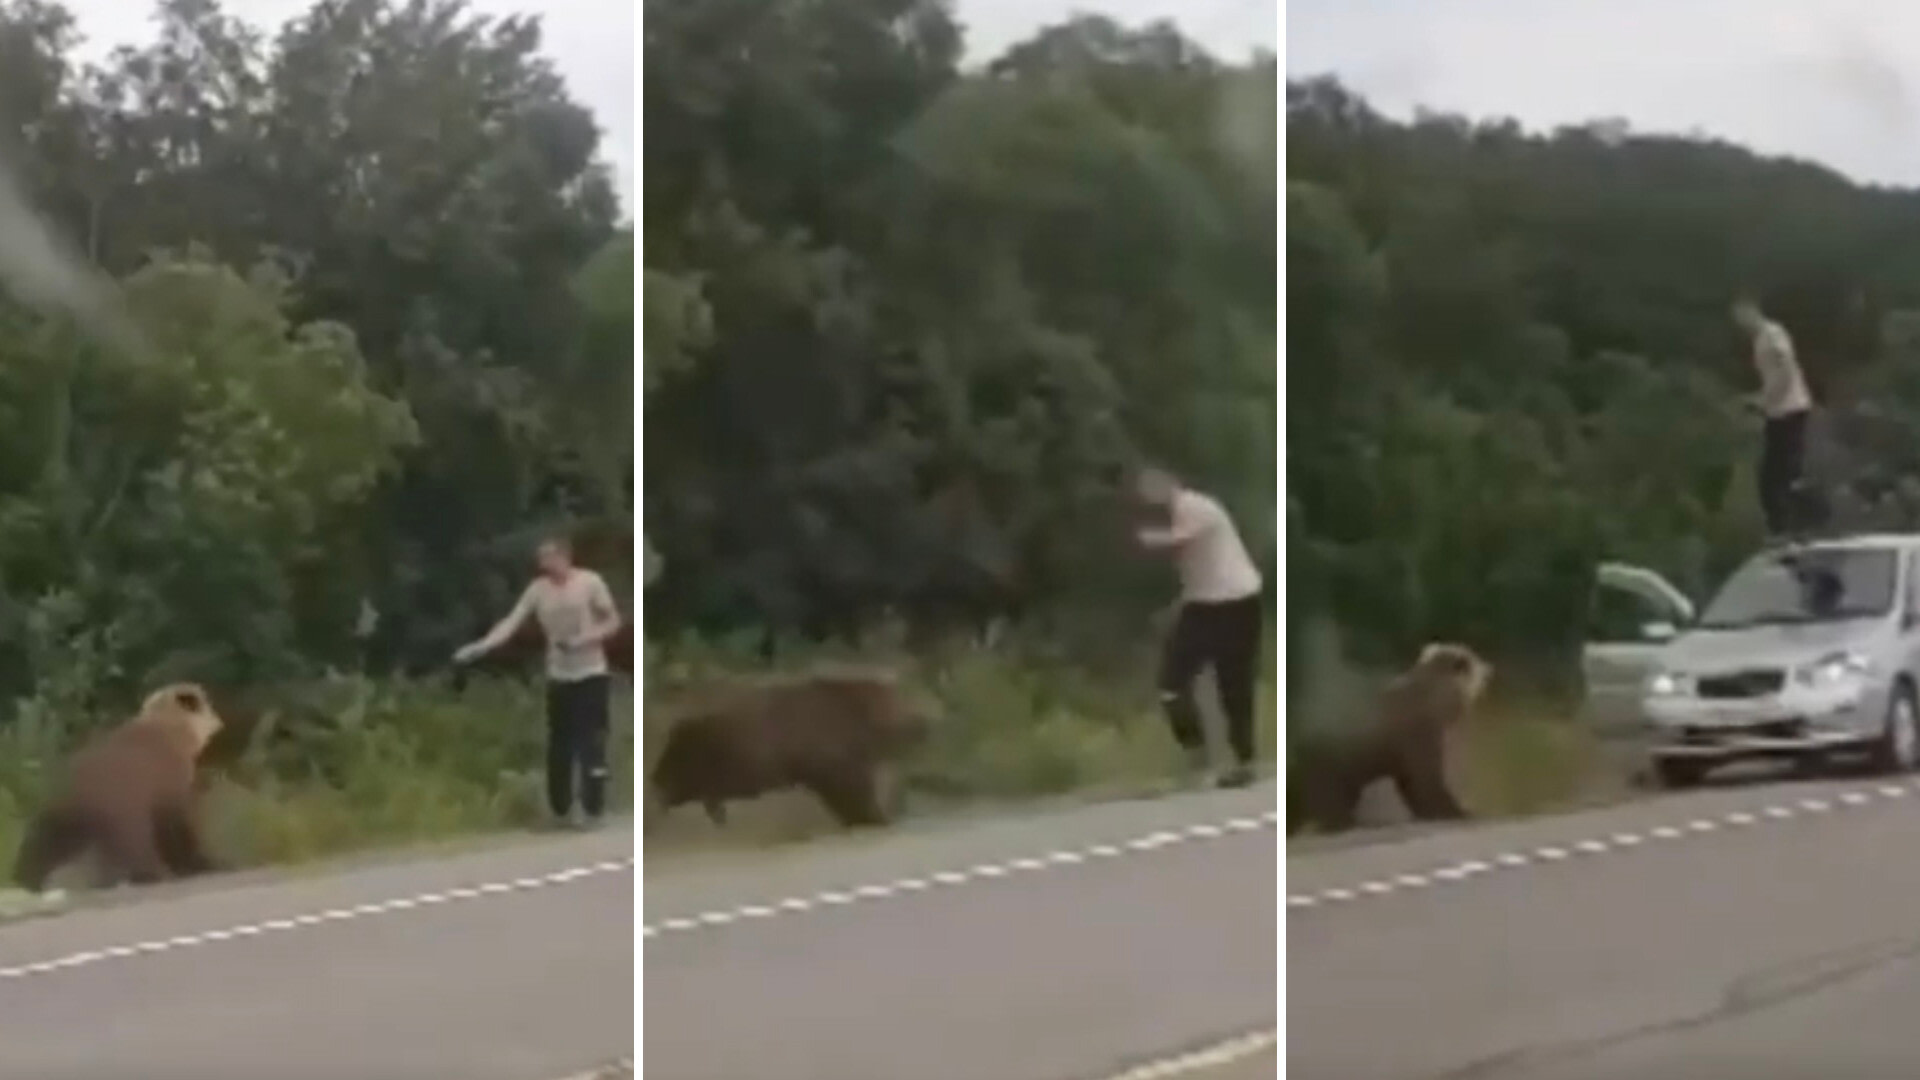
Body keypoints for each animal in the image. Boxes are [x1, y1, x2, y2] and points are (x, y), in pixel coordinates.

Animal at [1290, 638, 1497, 834]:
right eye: (1475, 660)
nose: (1489, 668)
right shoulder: (1421, 739)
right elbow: (1428, 783)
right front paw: (1459, 811)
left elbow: (1414, 788)